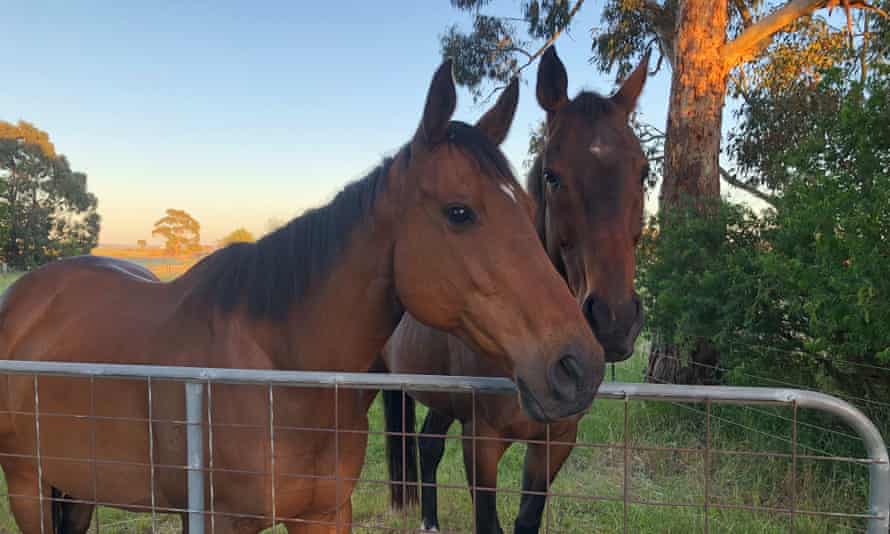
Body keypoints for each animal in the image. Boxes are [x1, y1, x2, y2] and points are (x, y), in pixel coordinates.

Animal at [0, 60, 607, 534]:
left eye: (529, 209)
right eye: (460, 212)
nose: (578, 365)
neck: (281, 373)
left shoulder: (325, 513)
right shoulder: (219, 521)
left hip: (76, 488)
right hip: (28, 486)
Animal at [381, 46, 650, 534]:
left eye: (643, 172)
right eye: (552, 175)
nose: (614, 319)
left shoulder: (555, 440)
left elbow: (527, 518)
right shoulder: (481, 442)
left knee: (428, 444)